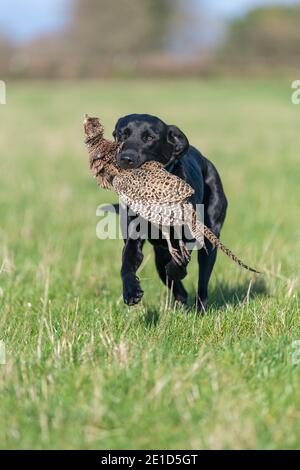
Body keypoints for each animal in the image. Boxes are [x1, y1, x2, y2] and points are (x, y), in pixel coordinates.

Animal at [112, 114, 227, 312]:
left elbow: (179, 263)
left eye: (149, 138)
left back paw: (199, 308)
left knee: (202, 284)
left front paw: (177, 270)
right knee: (170, 278)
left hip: (210, 239)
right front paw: (131, 292)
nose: (126, 158)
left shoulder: (188, 235)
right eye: (122, 134)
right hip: (160, 253)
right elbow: (126, 263)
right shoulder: (133, 239)